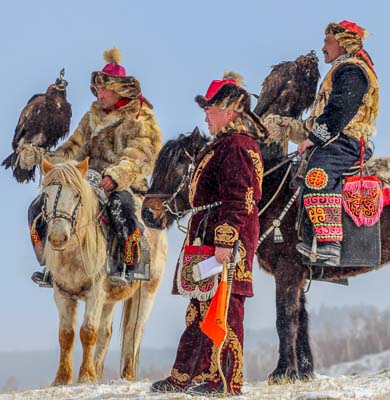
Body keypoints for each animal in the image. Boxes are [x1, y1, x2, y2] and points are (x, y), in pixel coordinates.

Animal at [38, 158, 167, 386]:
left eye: (77, 195)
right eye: (46, 195)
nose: (58, 237)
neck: (74, 253)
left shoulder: (95, 293)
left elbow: (88, 332)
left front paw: (86, 376)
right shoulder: (62, 294)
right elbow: (66, 335)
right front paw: (62, 378)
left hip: (146, 292)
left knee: (134, 329)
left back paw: (127, 375)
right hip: (109, 299)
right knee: (106, 333)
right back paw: (99, 372)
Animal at [141, 128, 390, 384]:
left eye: (178, 166)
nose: (147, 213)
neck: (274, 194)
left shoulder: (287, 270)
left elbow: (285, 318)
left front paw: (282, 371)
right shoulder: (297, 275)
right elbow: (300, 318)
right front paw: (303, 371)